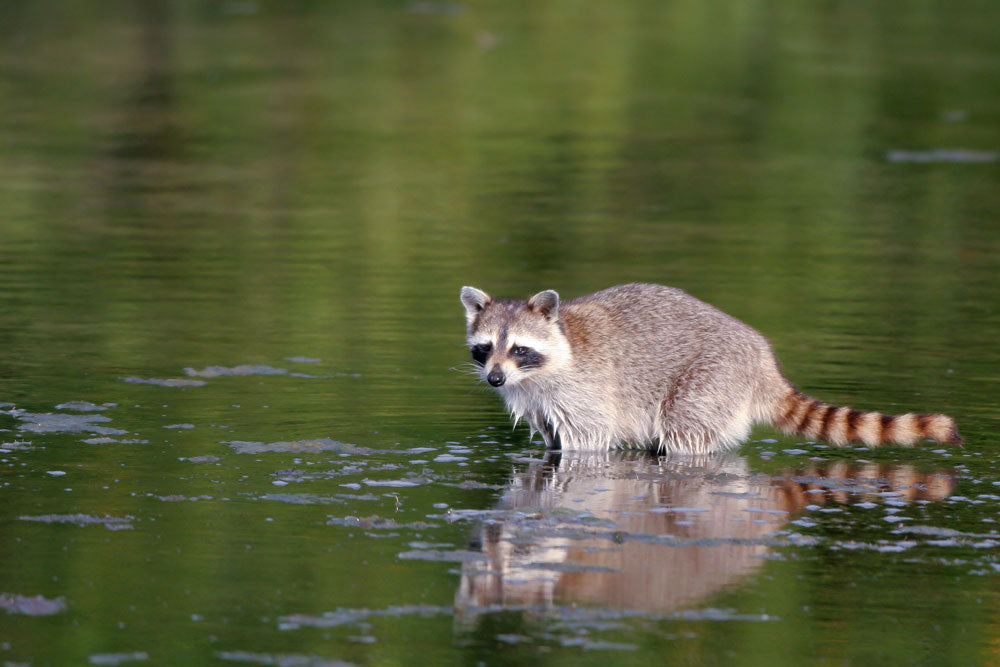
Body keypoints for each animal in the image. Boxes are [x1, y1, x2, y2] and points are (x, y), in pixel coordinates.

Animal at [460, 282, 960, 454]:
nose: (495, 379)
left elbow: (589, 441)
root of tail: (762, 362)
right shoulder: (537, 401)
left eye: (520, 349)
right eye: (485, 349)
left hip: (710, 380)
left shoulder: (585, 390)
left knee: (686, 435)